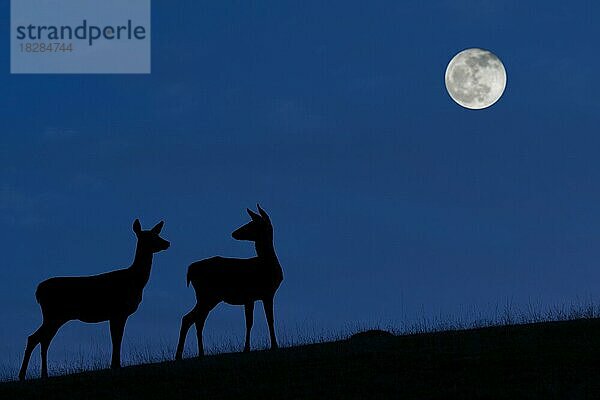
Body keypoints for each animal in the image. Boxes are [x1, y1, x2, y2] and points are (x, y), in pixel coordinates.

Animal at [18, 220, 169, 380]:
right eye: (149, 237)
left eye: (157, 234)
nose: (167, 243)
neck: (135, 281)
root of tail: (38, 291)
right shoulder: (118, 311)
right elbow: (116, 338)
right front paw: (115, 365)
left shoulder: (117, 314)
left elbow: (117, 338)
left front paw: (116, 365)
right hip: (53, 315)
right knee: (39, 339)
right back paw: (30, 374)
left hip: (55, 316)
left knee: (38, 338)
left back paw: (36, 374)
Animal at [176, 205, 284, 360]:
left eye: (253, 224)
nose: (234, 233)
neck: (267, 265)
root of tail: (190, 270)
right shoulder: (262, 294)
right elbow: (263, 320)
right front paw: (272, 346)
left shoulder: (255, 297)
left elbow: (255, 321)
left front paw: (249, 348)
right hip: (206, 295)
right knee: (192, 319)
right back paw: (186, 354)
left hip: (207, 297)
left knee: (194, 319)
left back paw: (195, 353)